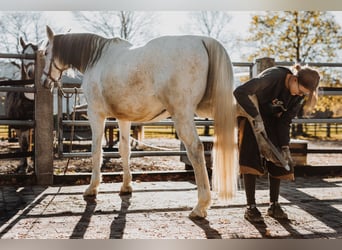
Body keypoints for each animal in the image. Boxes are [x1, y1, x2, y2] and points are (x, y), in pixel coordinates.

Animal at [40, 24, 238, 217]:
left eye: (45, 52)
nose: (43, 82)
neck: (96, 59)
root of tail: (203, 40)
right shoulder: (123, 118)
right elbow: (124, 149)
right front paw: (126, 186)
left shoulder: (96, 114)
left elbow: (96, 151)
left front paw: (92, 188)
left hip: (182, 114)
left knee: (195, 149)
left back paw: (200, 206)